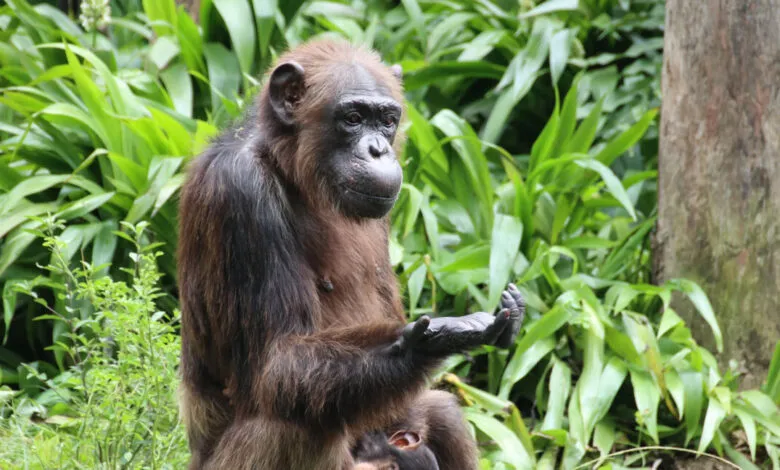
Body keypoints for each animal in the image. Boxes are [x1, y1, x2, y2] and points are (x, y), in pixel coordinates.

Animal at [177, 39, 526, 470]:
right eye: (354, 118)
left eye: (388, 120)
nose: (378, 149)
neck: (290, 166)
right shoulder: (240, 193)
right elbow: (278, 361)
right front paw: (428, 341)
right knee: (296, 428)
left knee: (442, 412)